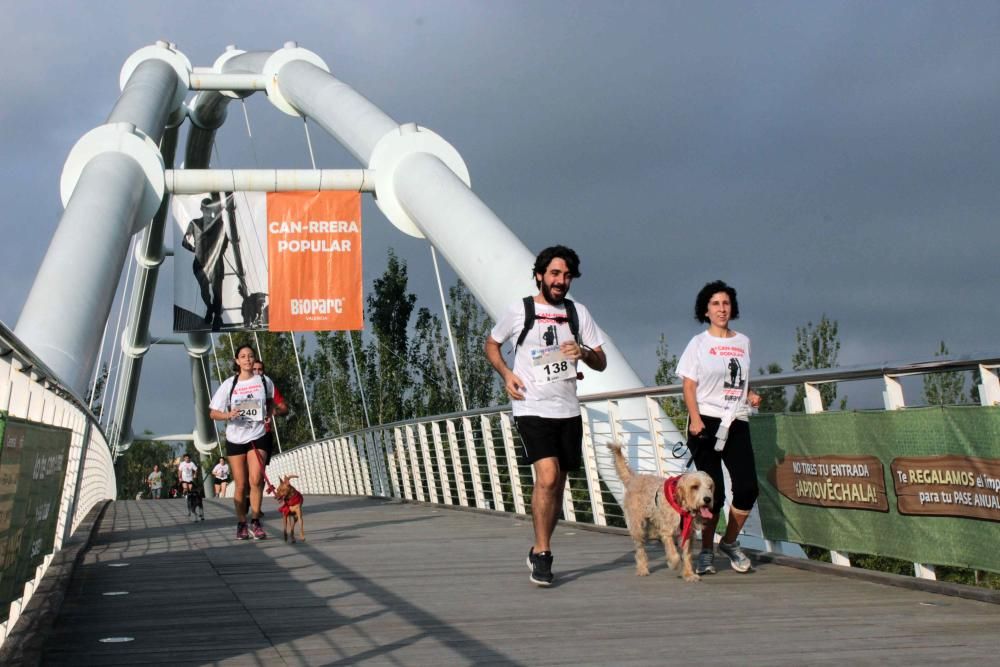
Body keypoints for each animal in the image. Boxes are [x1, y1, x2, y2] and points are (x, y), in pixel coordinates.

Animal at [608, 446, 712, 580]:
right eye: (695, 486)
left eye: (710, 487)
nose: (708, 499)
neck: (681, 506)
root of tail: (634, 478)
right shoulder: (667, 531)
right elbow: (674, 553)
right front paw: (674, 563)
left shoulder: (688, 532)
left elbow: (687, 554)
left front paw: (689, 574)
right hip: (638, 527)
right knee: (640, 550)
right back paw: (642, 569)